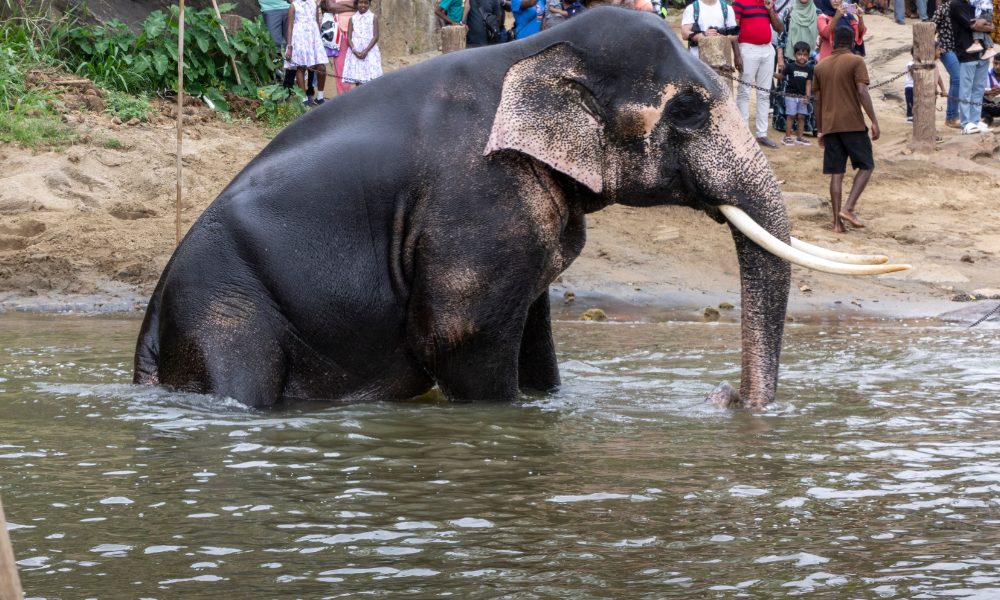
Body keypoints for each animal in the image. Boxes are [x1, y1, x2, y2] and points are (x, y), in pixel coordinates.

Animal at [133, 7, 907, 410]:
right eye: (687, 112)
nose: (725, 397)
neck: (531, 50)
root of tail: (151, 316)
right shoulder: (478, 200)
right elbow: (459, 336)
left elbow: (533, 333)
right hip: (226, 308)